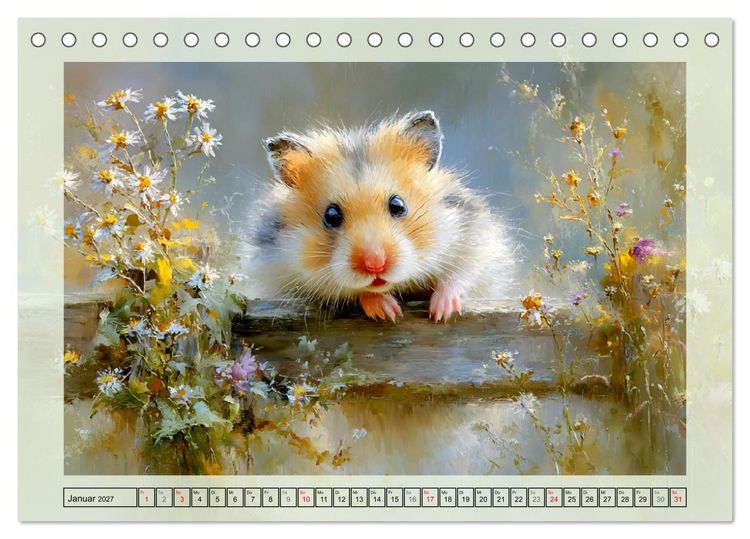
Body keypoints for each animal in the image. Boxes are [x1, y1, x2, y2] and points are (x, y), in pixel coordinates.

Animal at [243, 110, 515, 322]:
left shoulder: (476, 237)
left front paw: (441, 312)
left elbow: (462, 273)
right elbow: (350, 291)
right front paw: (388, 312)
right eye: (331, 215)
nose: (375, 265)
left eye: (398, 205)